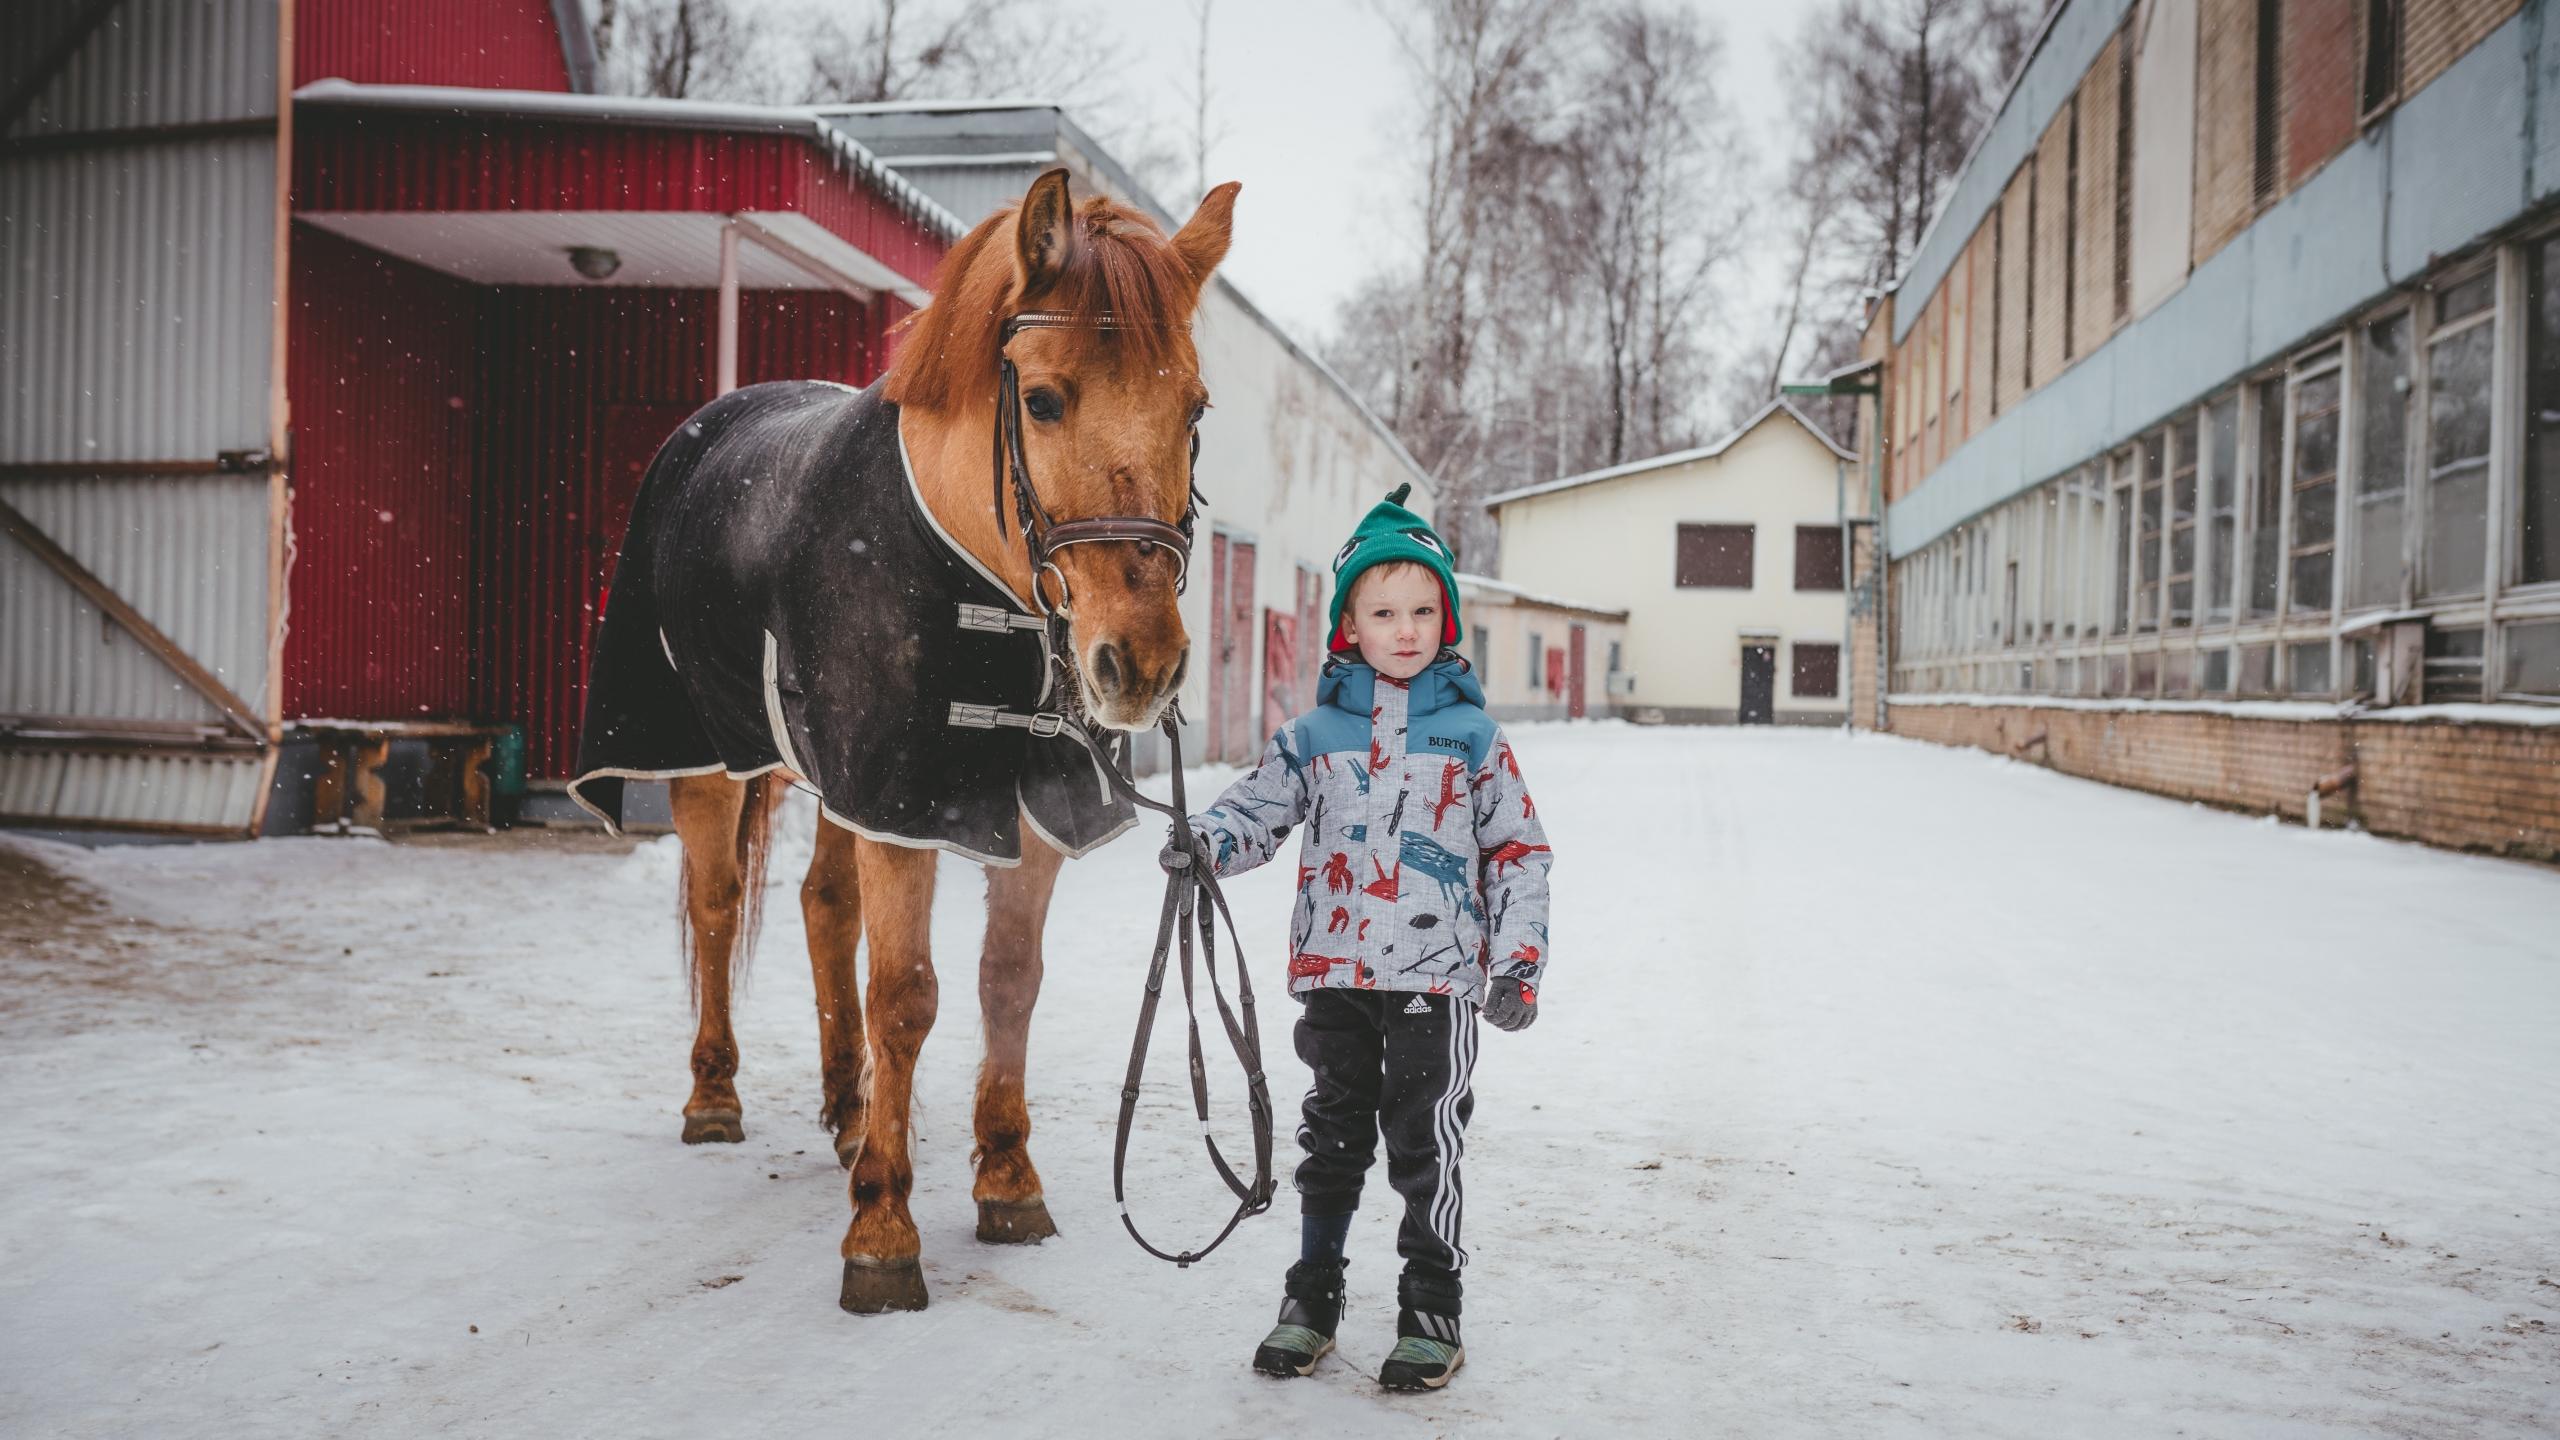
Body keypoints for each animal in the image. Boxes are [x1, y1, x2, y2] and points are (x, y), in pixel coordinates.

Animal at [569, 168, 1240, 1313]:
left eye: (1192, 408)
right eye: (1041, 398)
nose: (1139, 665)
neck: (972, 565)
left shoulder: (1014, 807)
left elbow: (1007, 981)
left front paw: (1007, 1179)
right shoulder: (904, 805)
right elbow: (906, 997)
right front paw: (882, 1232)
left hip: (837, 782)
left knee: (820, 906)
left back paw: (848, 1114)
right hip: (713, 759)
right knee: (717, 907)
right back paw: (715, 1096)